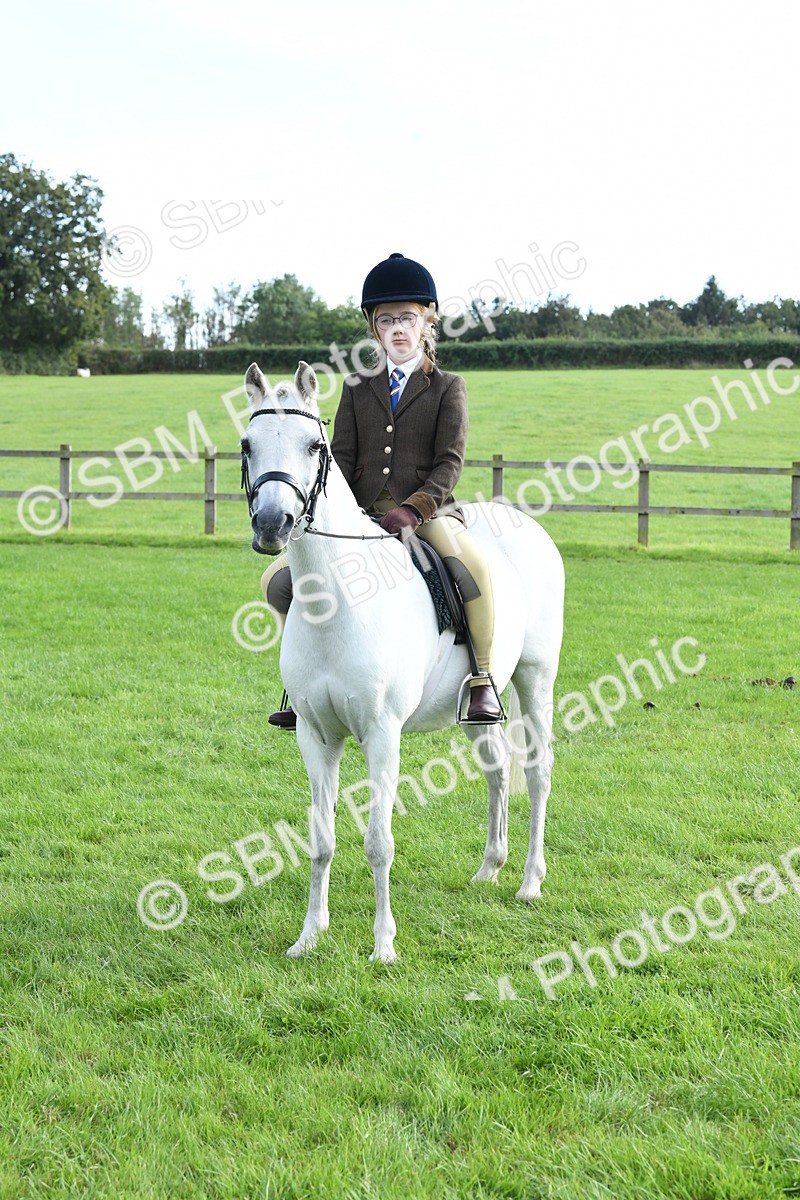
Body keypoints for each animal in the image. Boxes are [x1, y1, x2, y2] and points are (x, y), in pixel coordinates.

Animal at [241, 361, 565, 963]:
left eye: (314, 445)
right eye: (248, 445)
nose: (274, 523)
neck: (338, 598)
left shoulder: (381, 734)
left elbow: (378, 842)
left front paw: (383, 946)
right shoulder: (316, 737)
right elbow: (320, 840)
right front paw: (309, 936)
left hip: (536, 679)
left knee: (537, 771)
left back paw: (530, 882)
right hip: (476, 703)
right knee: (496, 768)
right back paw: (489, 868)